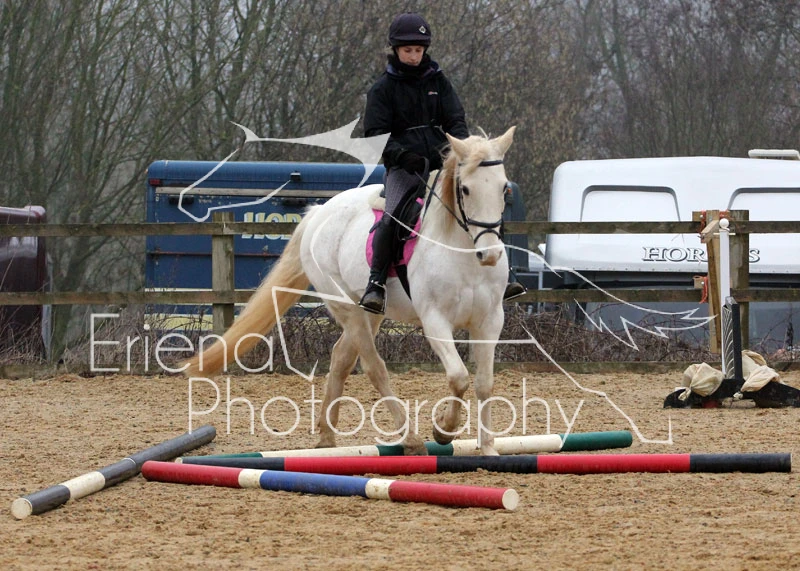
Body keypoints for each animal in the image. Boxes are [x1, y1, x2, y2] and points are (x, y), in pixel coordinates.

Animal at [184, 126, 516, 455]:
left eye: (504, 190)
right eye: (466, 190)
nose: (490, 255)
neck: (462, 253)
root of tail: (319, 212)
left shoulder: (489, 321)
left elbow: (484, 383)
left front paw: (488, 450)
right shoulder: (435, 320)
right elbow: (459, 377)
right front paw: (444, 431)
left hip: (370, 312)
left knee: (341, 356)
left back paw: (327, 437)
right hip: (346, 305)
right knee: (373, 367)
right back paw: (410, 439)